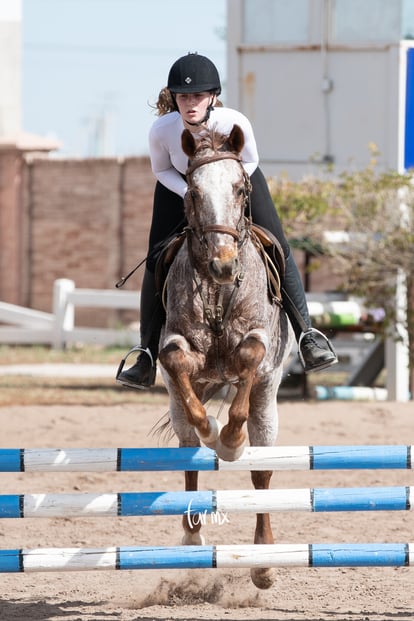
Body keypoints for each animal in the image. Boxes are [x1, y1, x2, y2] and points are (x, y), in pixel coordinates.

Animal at [158, 123, 294, 588]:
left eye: (240, 188)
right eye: (193, 191)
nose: (222, 265)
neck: (217, 290)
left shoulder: (258, 348)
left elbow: (250, 355)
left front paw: (231, 440)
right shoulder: (180, 349)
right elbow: (175, 360)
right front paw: (213, 428)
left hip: (268, 402)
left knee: (262, 470)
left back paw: (264, 562)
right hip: (178, 406)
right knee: (187, 456)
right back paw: (192, 540)